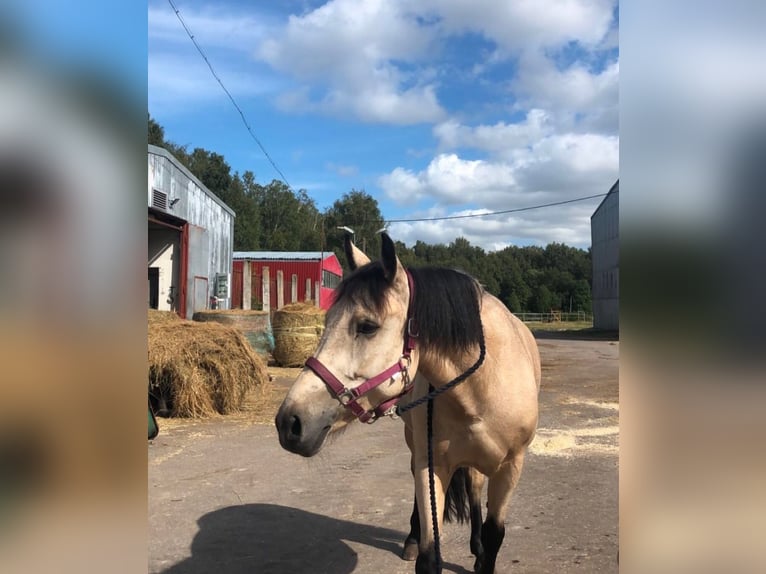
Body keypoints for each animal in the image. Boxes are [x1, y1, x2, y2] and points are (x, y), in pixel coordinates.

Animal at [274, 234, 540, 574]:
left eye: (367, 326)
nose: (290, 422)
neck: (486, 385)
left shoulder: (510, 467)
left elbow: (495, 535)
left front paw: (483, 551)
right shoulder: (432, 462)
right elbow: (429, 552)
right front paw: (420, 543)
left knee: (473, 486)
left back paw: (476, 544)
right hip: (414, 440)